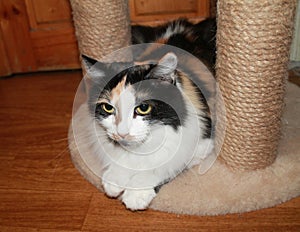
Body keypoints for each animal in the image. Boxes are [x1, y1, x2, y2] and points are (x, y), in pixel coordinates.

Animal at [79, 17, 216, 210]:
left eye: (143, 108)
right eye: (108, 108)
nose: (122, 133)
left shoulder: (202, 144)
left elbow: (165, 164)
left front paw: (136, 194)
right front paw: (115, 178)